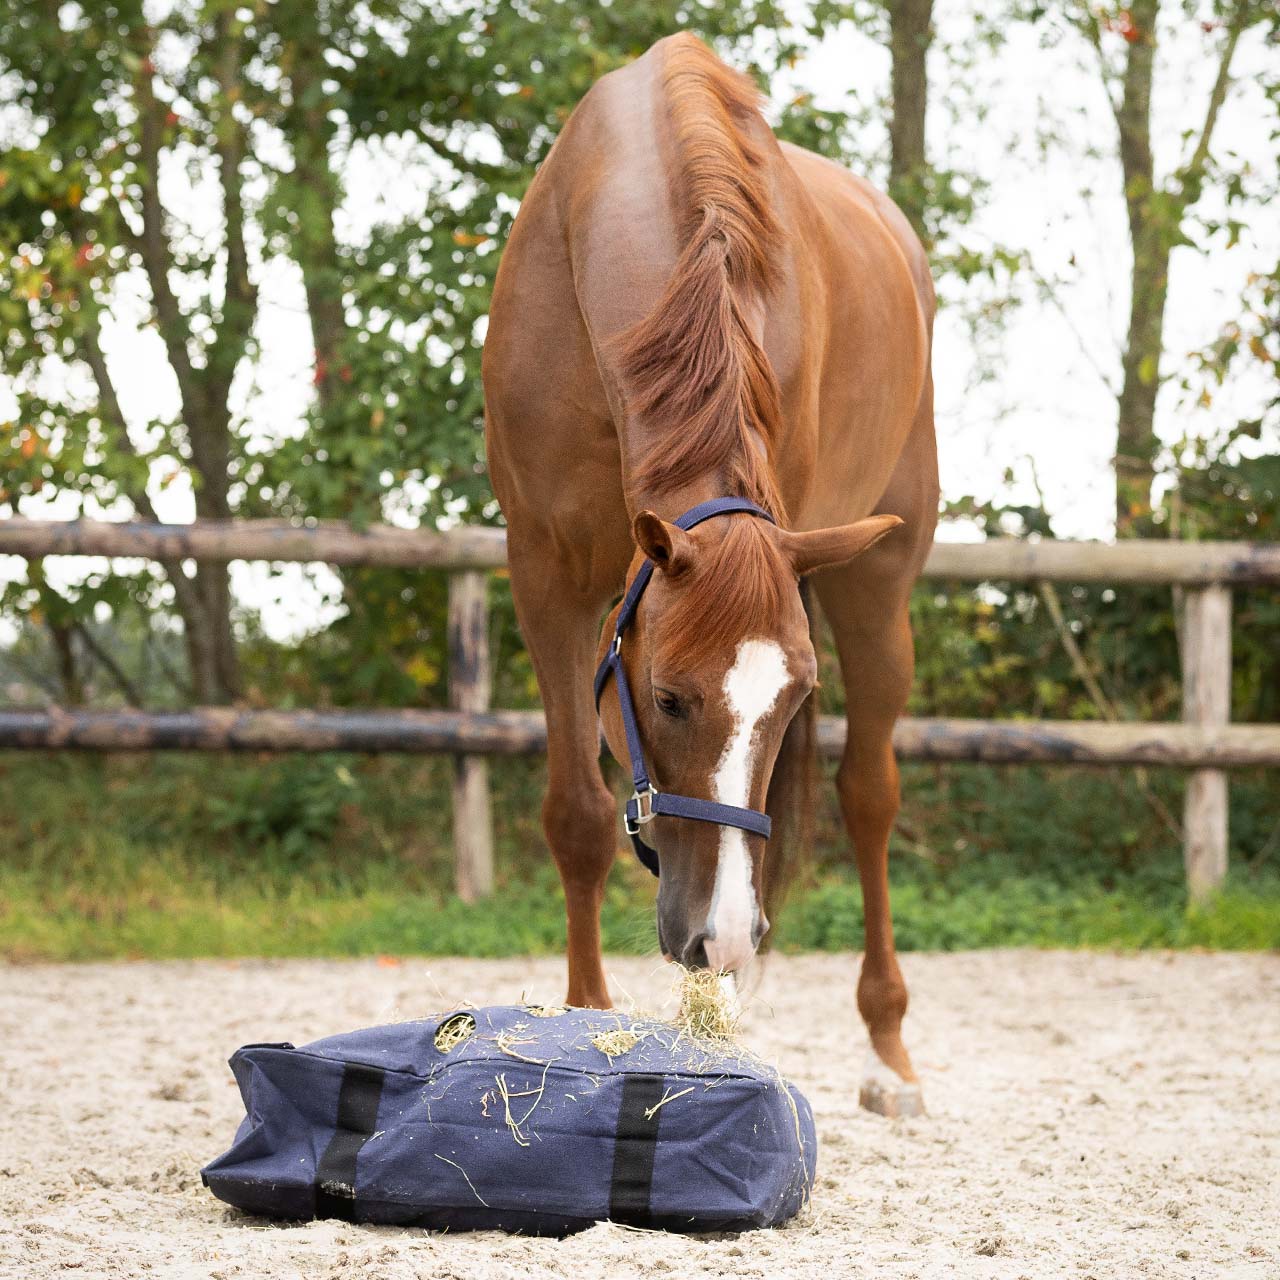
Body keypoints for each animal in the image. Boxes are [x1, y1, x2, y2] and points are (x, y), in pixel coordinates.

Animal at [483, 30, 936, 1111]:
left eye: (789, 702)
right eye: (668, 698)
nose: (721, 938)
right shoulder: (546, 575)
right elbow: (578, 817)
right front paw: (587, 1020)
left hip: (877, 577)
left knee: (868, 792)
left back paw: (885, 1050)